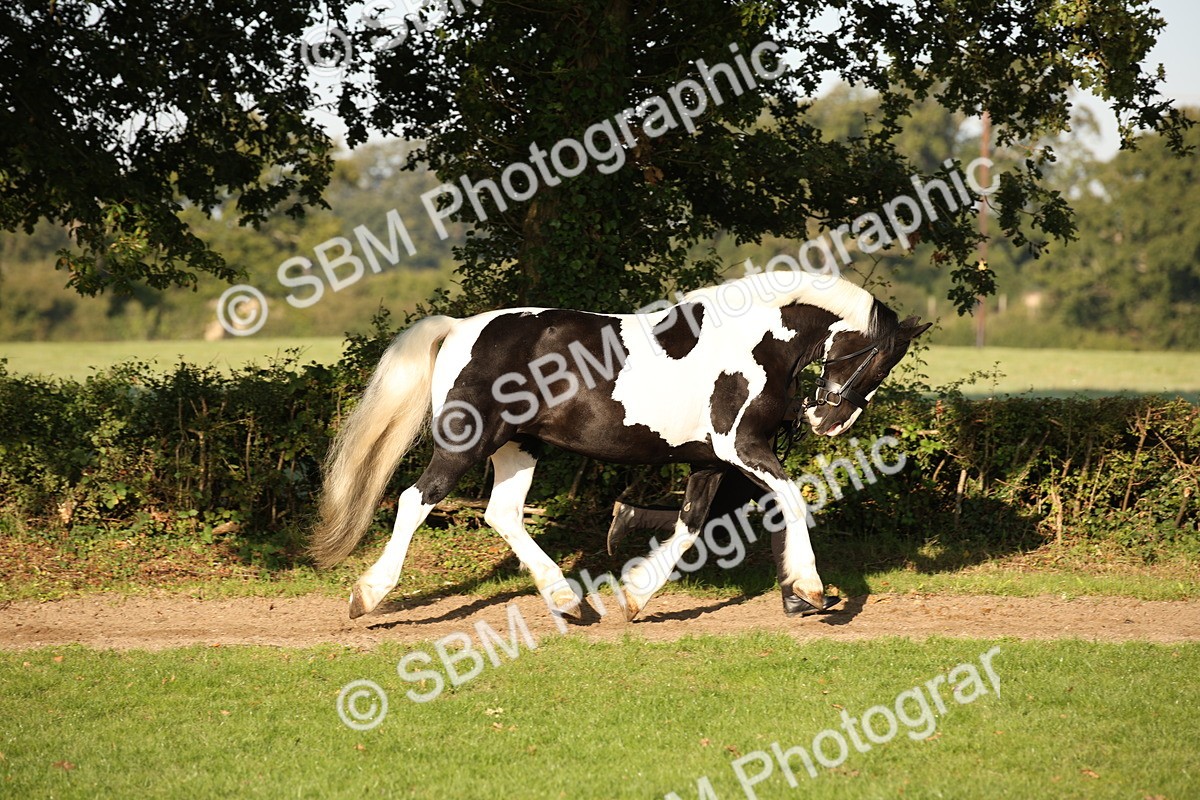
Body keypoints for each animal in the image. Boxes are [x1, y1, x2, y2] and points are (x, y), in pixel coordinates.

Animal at [310, 270, 930, 620]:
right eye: (874, 359)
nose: (829, 422)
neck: (754, 344)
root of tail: (461, 327)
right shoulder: (741, 449)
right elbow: (794, 500)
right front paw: (811, 590)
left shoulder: (711, 461)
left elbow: (692, 526)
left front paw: (636, 593)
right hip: (468, 441)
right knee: (415, 501)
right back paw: (367, 598)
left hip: (521, 446)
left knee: (502, 513)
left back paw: (568, 602)